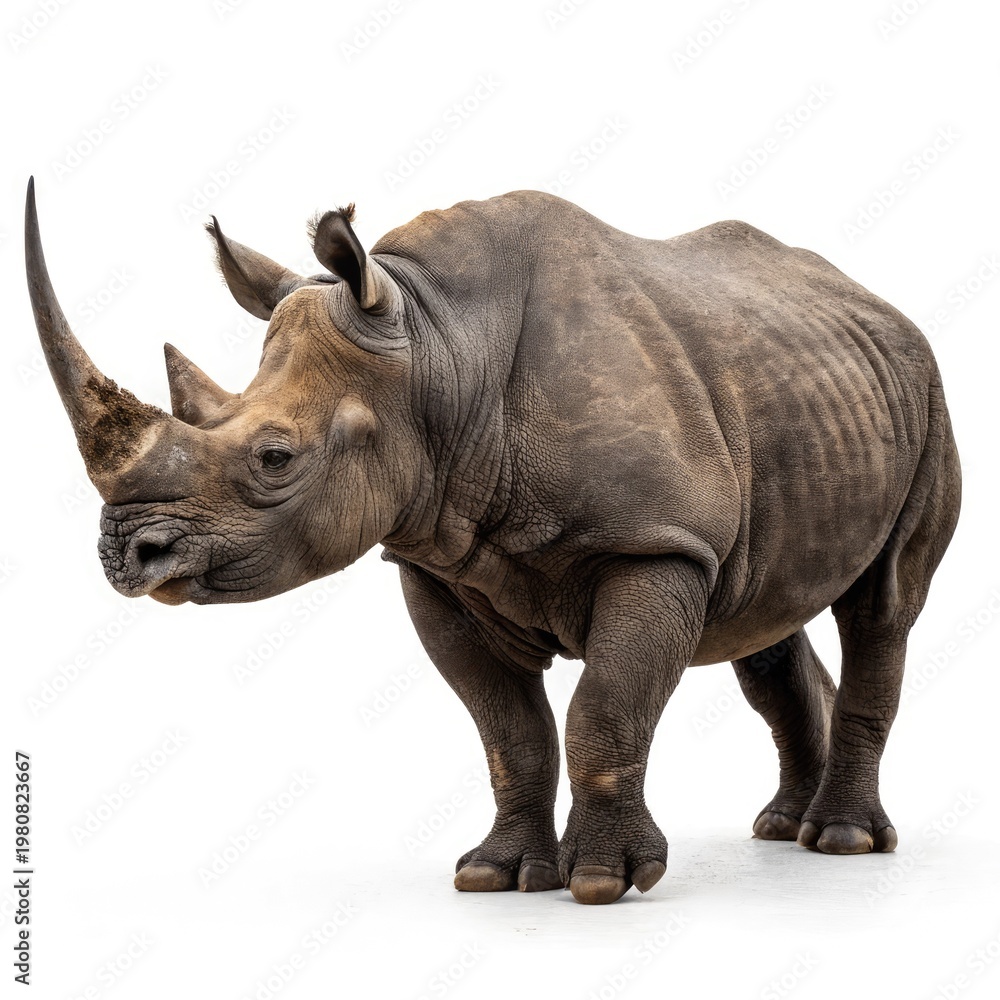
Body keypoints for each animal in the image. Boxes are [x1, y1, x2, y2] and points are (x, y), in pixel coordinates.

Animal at [25, 177, 961, 904]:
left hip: (927, 393)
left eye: (274, 457)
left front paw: (602, 883)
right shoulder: (433, 561)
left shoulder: (653, 544)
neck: (440, 348)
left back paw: (840, 841)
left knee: (883, 606)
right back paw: (779, 827)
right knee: (762, 621)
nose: (126, 555)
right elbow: (508, 729)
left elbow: (605, 707)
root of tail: (877, 303)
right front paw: (495, 877)